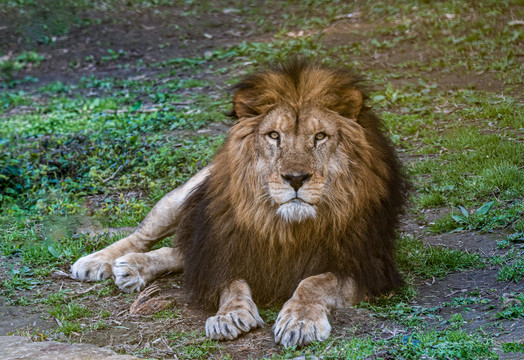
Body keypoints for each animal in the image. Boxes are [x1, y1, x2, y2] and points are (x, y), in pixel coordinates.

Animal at [69, 60, 408, 348]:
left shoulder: (367, 265)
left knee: (179, 250)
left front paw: (300, 320)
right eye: (274, 135)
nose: (295, 178)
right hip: (189, 195)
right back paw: (101, 261)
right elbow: (230, 283)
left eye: (320, 136)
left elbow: (315, 281)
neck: (287, 226)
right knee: (149, 235)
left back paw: (132, 268)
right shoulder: (222, 248)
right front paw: (229, 315)